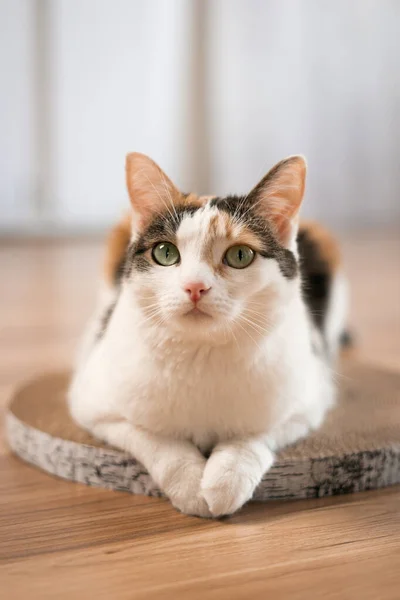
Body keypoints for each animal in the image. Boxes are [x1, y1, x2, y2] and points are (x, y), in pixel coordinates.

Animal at [68, 152, 346, 516]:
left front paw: (226, 480)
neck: (202, 352)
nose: (195, 286)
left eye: (240, 255)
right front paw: (189, 486)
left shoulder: (307, 404)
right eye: (165, 253)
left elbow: (255, 435)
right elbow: (154, 437)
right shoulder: (93, 405)